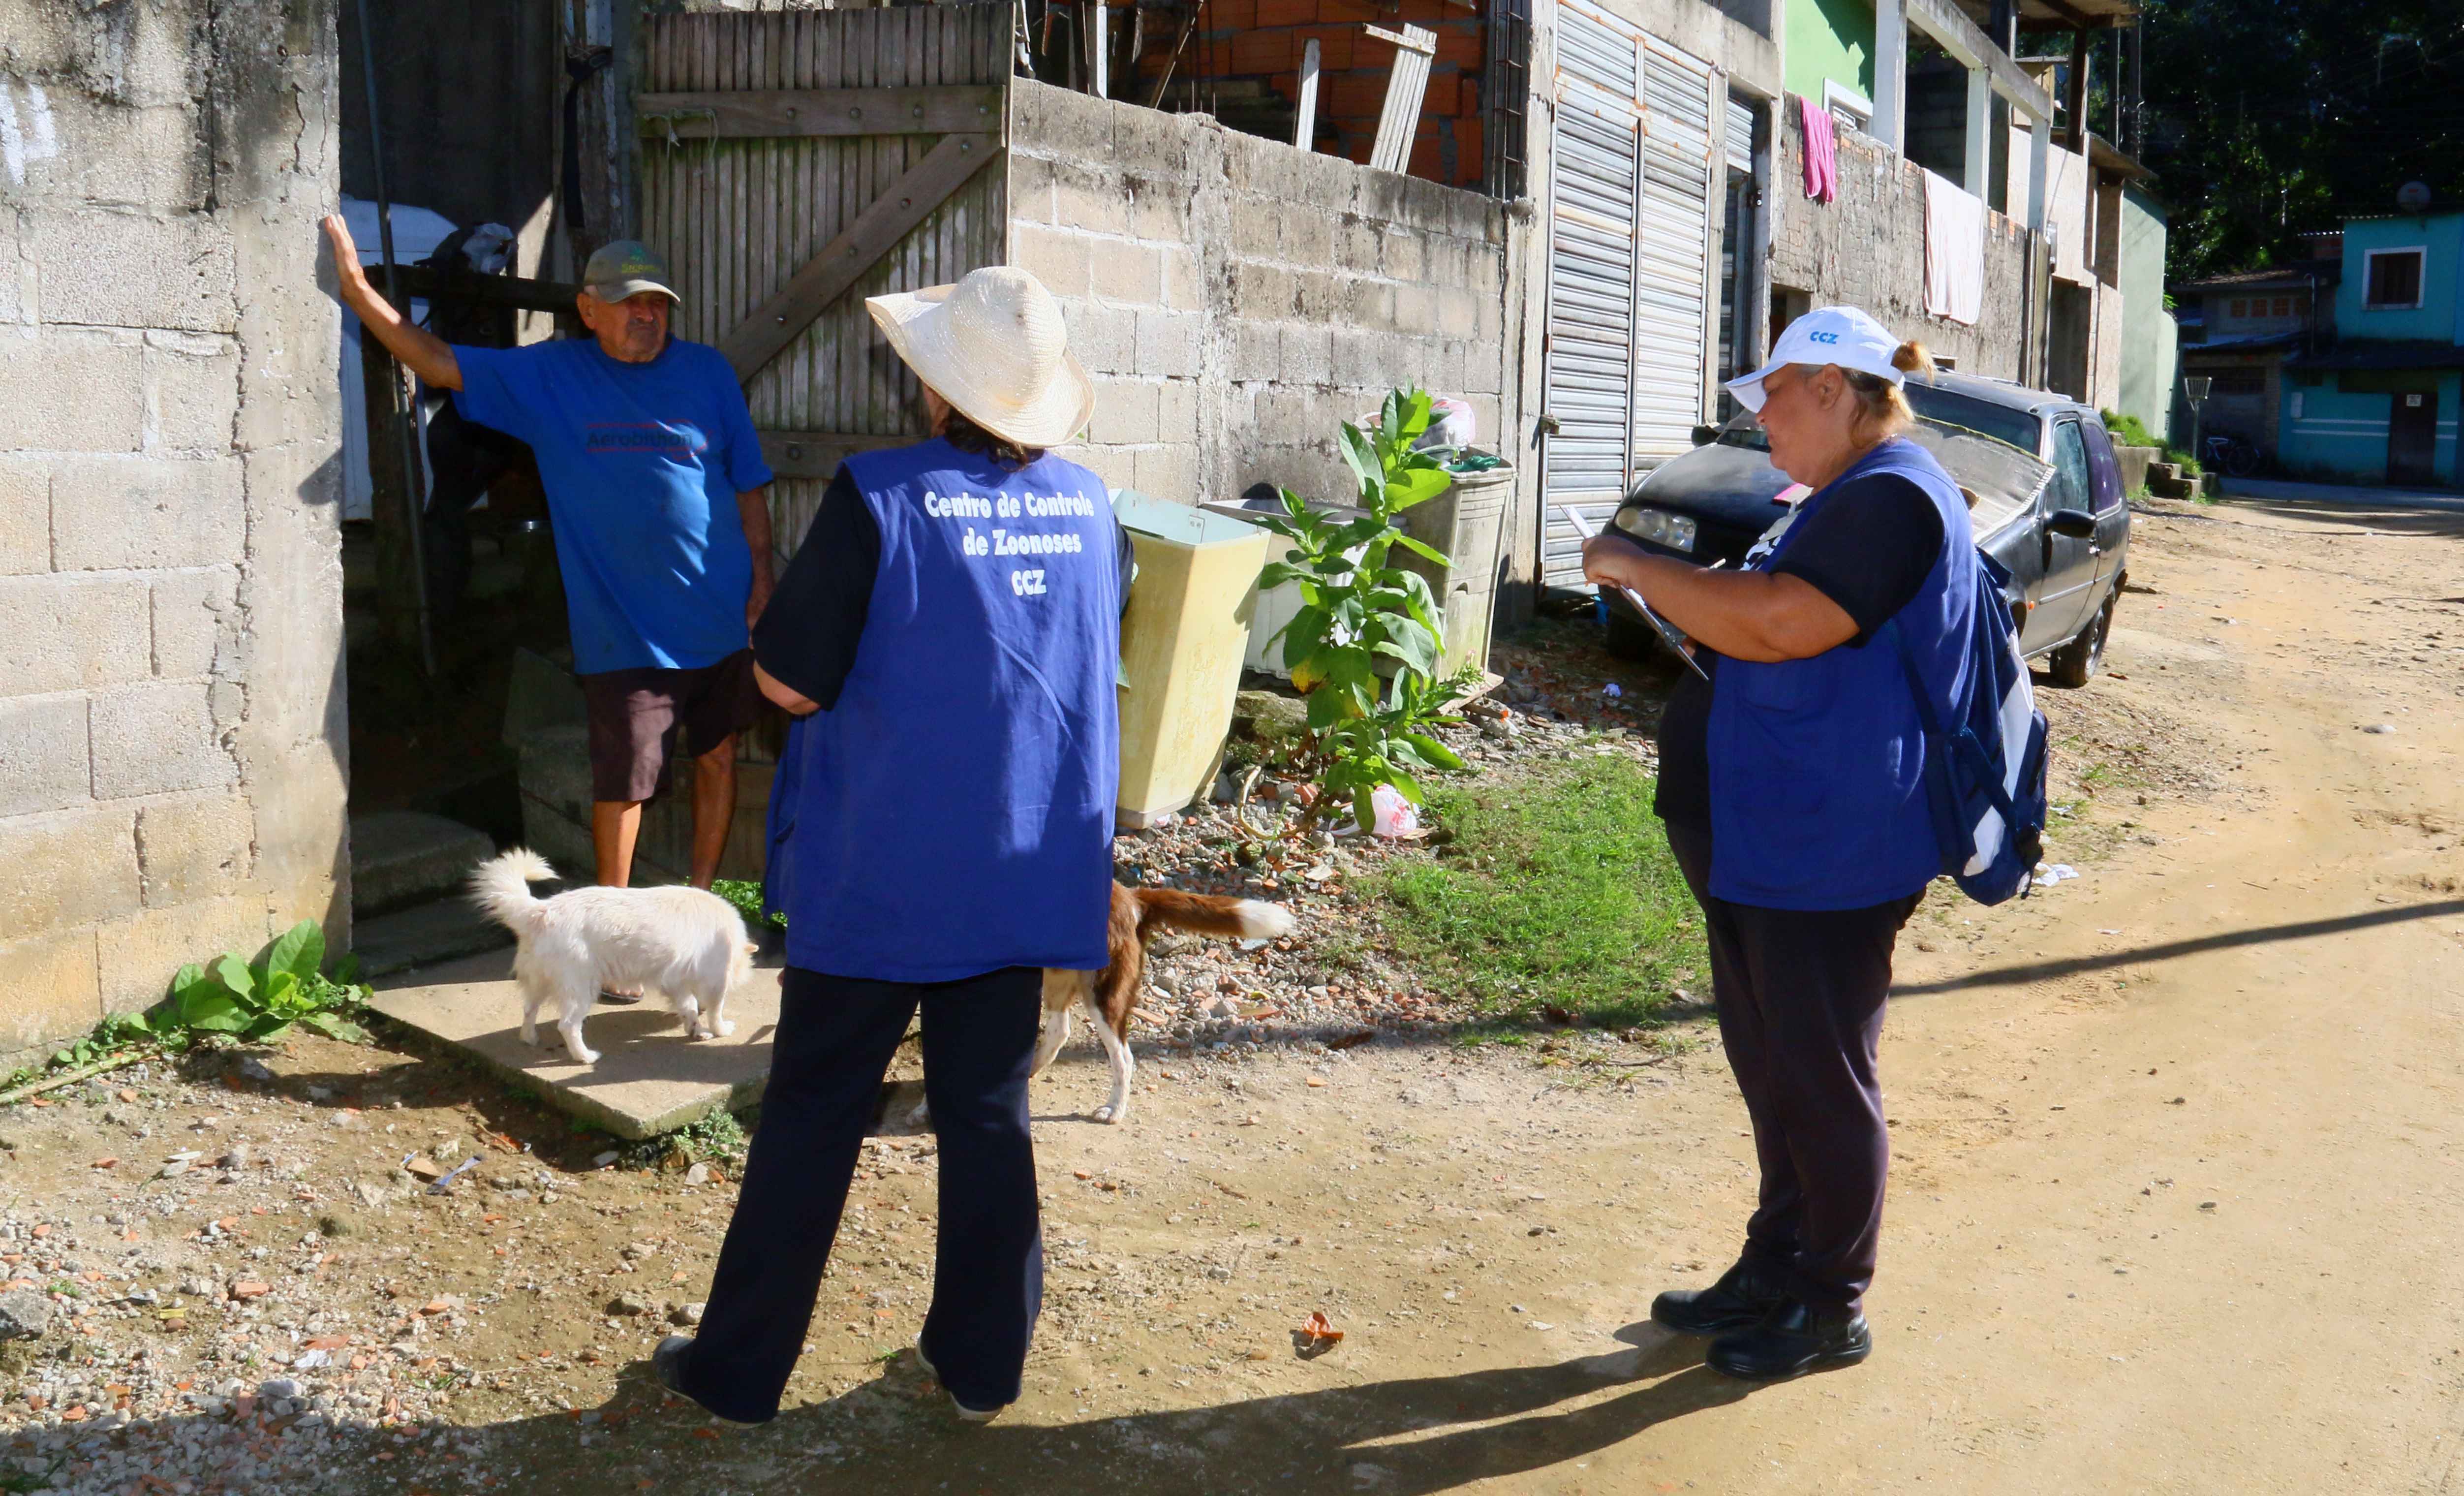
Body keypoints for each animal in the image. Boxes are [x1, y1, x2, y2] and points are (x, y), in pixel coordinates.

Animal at [468, 852, 754, 1064]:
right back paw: (585, 1057)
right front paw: (720, 1030)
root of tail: (541, 910)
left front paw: (696, 1031)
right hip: (582, 991)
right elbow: (715, 1011)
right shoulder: (714, 982)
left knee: (529, 1010)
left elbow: (690, 1009)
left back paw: (530, 1039)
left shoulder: (676, 983)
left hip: (541, 983)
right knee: (567, 1026)